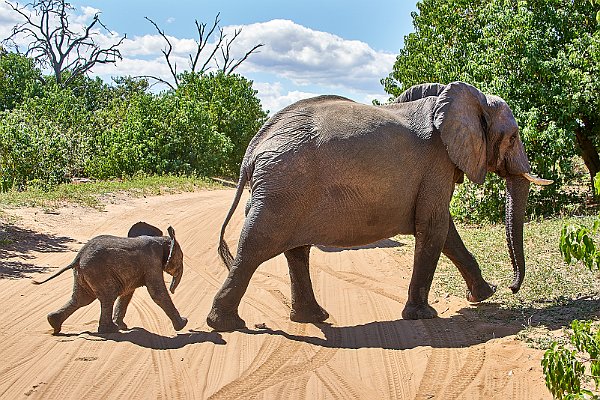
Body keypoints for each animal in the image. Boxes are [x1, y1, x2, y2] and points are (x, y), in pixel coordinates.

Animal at [33, 222, 188, 334]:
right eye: (181, 258)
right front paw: (183, 324)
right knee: (107, 297)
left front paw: (122, 326)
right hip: (97, 272)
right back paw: (110, 331)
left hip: (84, 274)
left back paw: (54, 324)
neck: (161, 239)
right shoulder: (151, 262)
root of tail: (78, 258)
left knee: (82, 299)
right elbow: (157, 294)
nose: (173, 289)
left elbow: (127, 294)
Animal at [205, 80, 548, 332]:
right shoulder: (437, 163)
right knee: (256, 245)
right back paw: (226, 324)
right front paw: (424, 315)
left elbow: (446, 231)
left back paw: (312, 317)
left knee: (295, 250)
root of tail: (254, 147)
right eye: (513, 137)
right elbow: (434, 227)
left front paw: (486, 294)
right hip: (283, 185)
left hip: (286, 189)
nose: (512, 287)